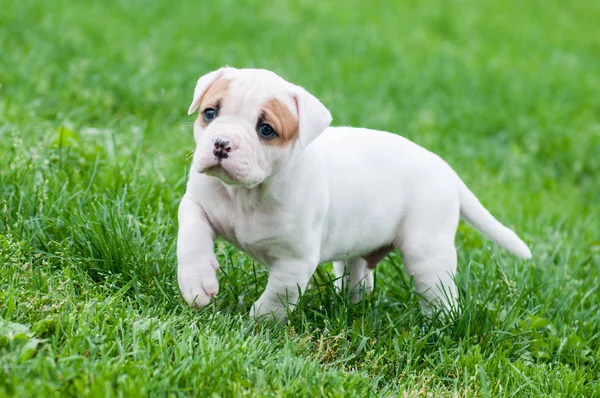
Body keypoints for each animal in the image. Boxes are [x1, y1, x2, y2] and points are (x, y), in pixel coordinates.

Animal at [176, 66, 532, 320]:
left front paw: (256, 324)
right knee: (358, 273)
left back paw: (440, 326)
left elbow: (277, 297)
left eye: (266, 130)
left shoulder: (295, 262)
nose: (221, 144)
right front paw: (196, 282)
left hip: (427, 251)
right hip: (360, 247)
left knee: (439, 291)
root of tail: (445, 168)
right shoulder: (197, 202)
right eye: (210, 113)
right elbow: (191, 233)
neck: (247, 195)